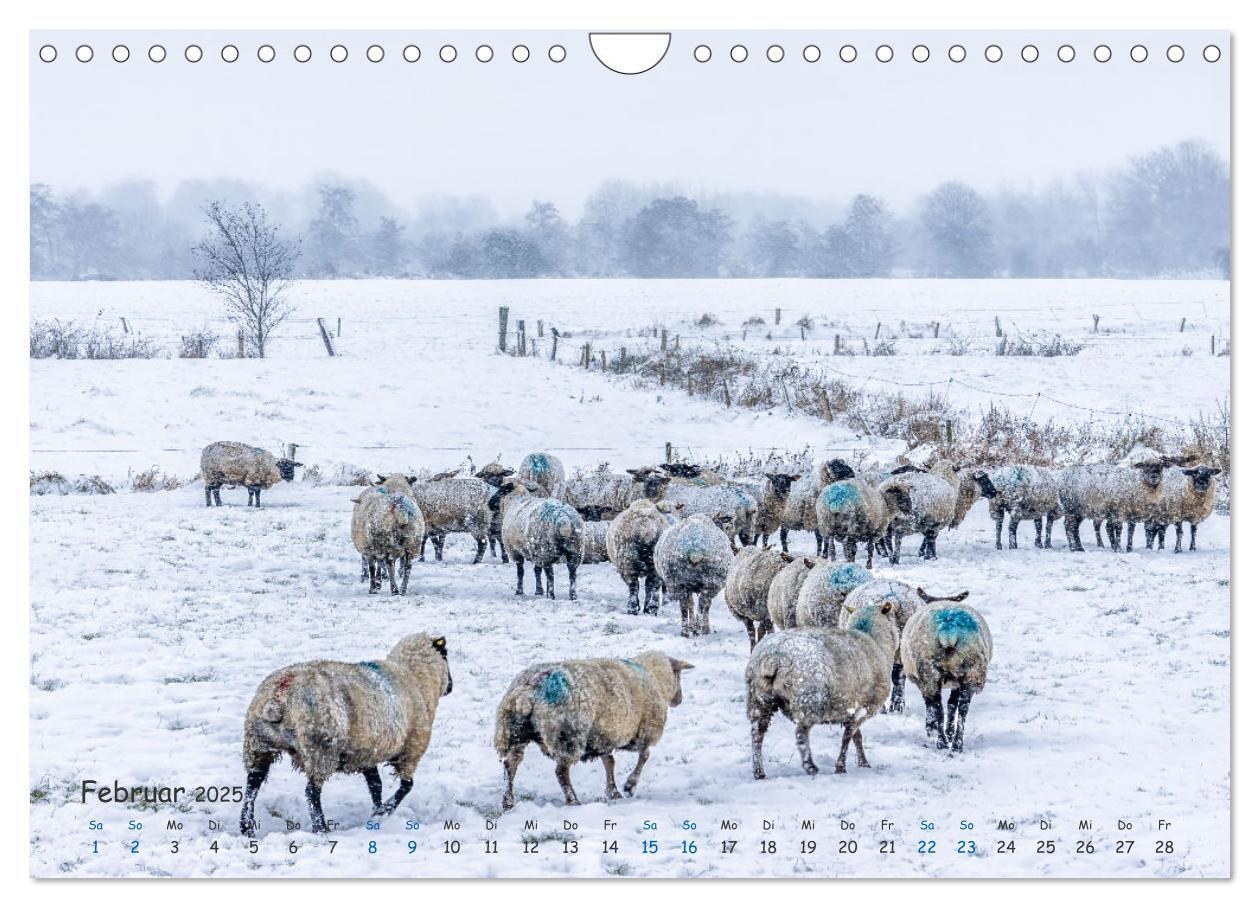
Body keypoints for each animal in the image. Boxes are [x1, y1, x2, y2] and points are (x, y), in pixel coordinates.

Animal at [238, 629, 451, 836]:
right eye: (445, 654)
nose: (450, 687)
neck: (416, 679)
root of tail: (278, 697)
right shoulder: (410, 751)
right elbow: (406, 786)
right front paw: (383, 812)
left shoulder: (367, 754)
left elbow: (376, 785)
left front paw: (376, 813)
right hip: (320, 750)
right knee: (311, 793)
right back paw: (321, 829)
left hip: (258, 744)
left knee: (252, 784)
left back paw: (246, 828)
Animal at [491, 649, 695, 805]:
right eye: (678, 674)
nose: (679, 700)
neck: (653, 678)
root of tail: (530, 689)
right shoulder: (644, 732)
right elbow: (644, 756)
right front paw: (629, 786)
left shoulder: (603, 736)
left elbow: (609, 762)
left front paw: (613, 792)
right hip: (567, 735)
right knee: (561, 772)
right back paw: (573, 800)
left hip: (514, 731)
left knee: (511, 764)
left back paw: (508, 801)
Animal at [740, 599, 902, 775]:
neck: (875, 641)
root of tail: (774, 656)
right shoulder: (864, 708)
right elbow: (848, 736)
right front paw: (841, 767)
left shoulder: (851, 708)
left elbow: (856, 737)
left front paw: (863, 762)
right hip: (808, 701)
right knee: (800, 734)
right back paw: (810, 766)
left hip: (758, 698)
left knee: (757, 733)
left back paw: (759, 771)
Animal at [902, 586, 987, 750]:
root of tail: (948, 629)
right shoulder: (955, 682)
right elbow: (952, 704)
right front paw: (948, 732)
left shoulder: (924, 682)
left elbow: (931, 706)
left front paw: (931, 729)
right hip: (971, 669)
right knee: (962, 710)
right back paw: (957, 744)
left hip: (929, 673)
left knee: (938, 709)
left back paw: (942, 742)